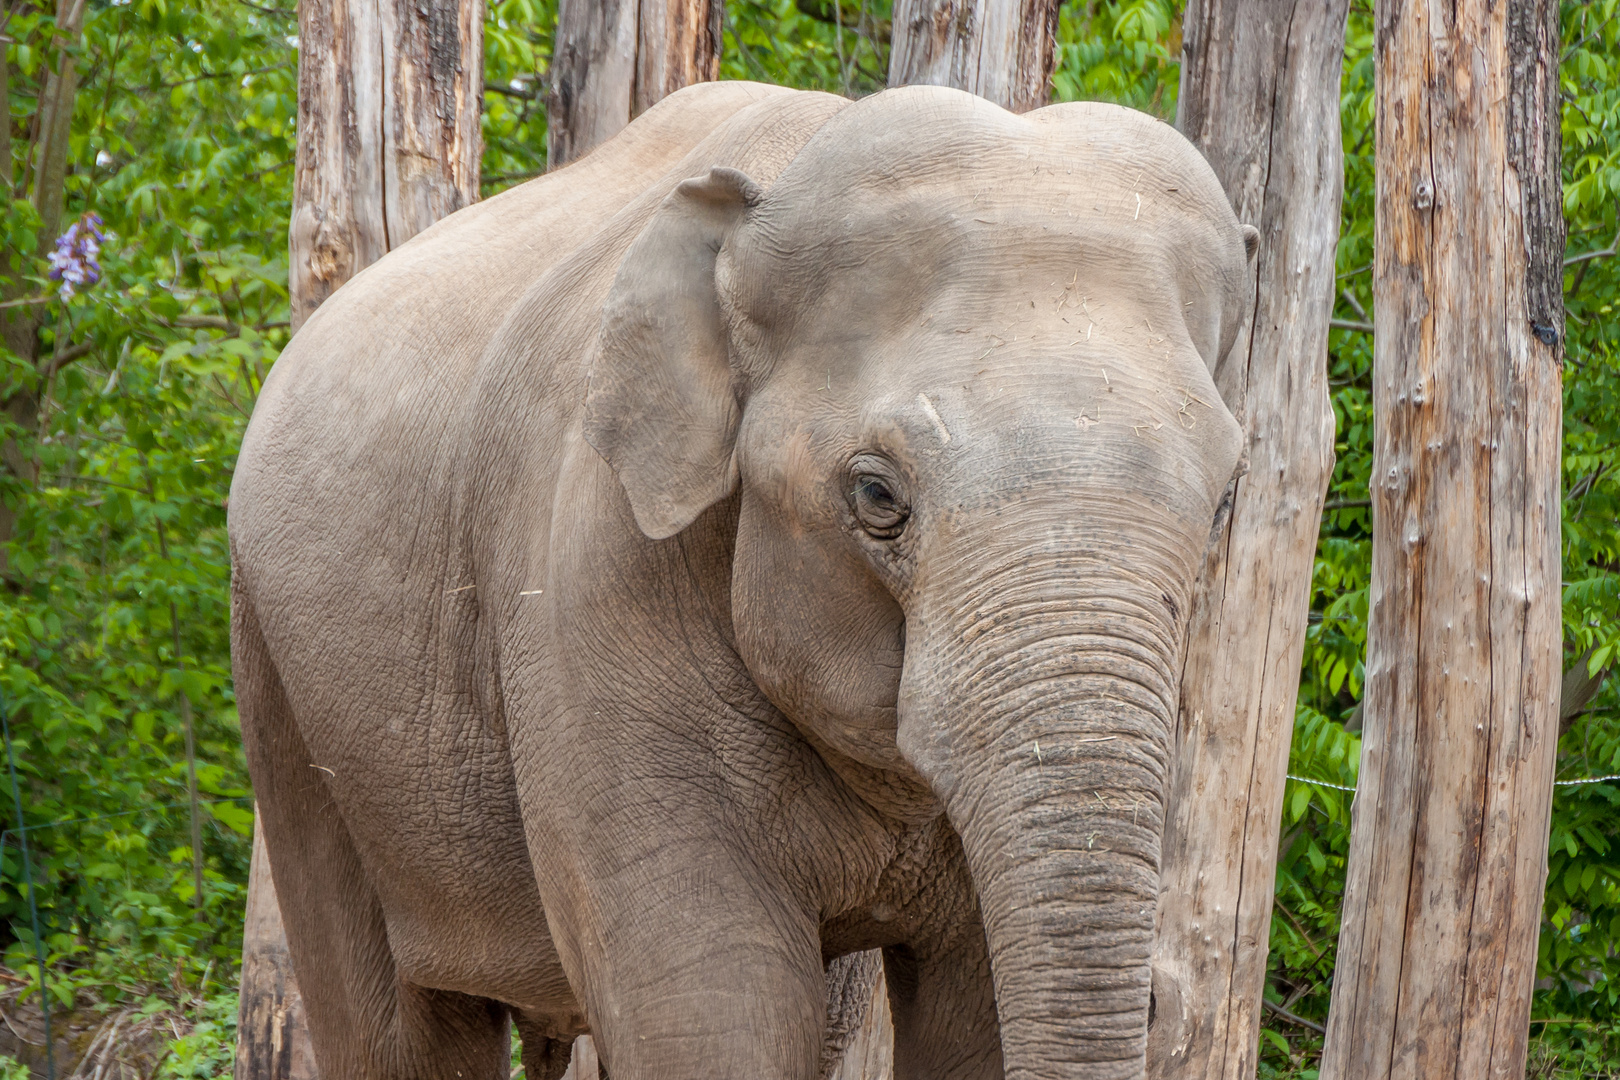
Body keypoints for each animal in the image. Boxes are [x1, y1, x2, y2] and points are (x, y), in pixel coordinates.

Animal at [231, 80, 1250, 1080]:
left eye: (1224, 496)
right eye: (876, 493)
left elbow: (971, 1019)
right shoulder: (591, 576)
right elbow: (716, 1014)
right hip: (286, 693)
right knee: (393, 1027)